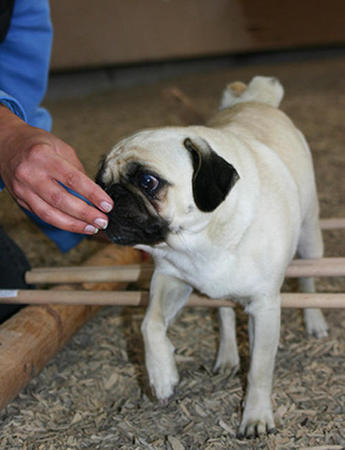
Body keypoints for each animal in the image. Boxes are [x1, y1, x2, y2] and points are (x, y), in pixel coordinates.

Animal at [95, 76, 326, 436]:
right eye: (100, 180)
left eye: (148, 181)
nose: (109, 196)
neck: (199, 241)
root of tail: (257, 100)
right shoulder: (168, 280)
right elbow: (150, 324)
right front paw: (162, 376)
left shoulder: (264, 308)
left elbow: (259, 371)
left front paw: (256, 416)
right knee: (224, 314)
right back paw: (228, 355)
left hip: (310, 237)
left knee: (308, 280)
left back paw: (314, 321)